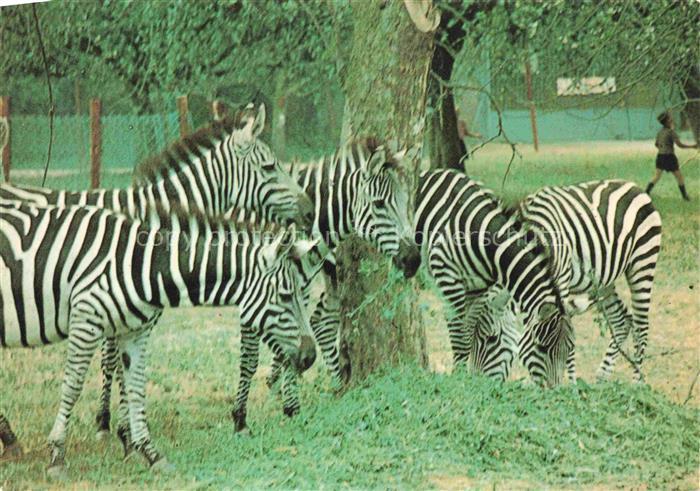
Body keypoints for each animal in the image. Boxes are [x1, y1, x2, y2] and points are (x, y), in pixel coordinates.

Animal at [0, 199, 319, 476]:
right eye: (285, 296)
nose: (310, 357)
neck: (145, 264)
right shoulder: (86, 321)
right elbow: (73, 387)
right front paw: (57, 456)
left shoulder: (134, 332)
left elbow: (136, 387)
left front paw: (149, 452)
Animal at [461, 180, 662, 383]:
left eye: (491, 339)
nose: (475, 382)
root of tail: (634, 186)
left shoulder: (560, 283)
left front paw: (568, 382)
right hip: (602, 281)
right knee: (622, 321)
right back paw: (601, 378)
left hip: (643, 262)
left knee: (641, 324)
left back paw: (636, 381)